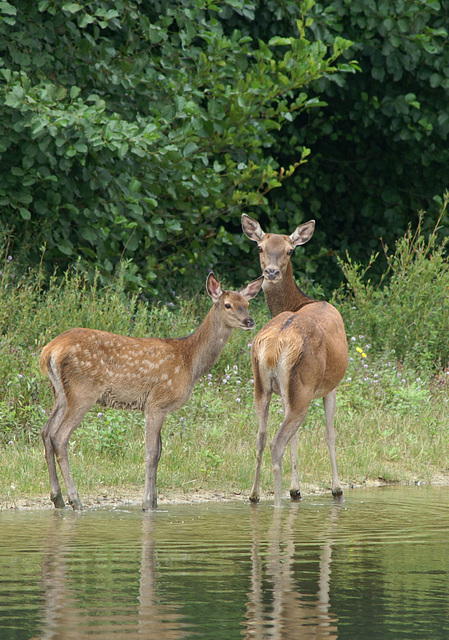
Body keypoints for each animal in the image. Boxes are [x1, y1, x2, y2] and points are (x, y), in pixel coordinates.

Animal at [40, 272, 264, 512]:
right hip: (83, 390)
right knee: (59, 436)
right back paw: (75, 500)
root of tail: (49, 351)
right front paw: (147, 503)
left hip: (60, 393)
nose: (249, 321)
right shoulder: (157, 403)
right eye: (228, 305)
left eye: (247, 304)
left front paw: (155, 502)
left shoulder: (160, 407)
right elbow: (151, 453)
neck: (190, 360)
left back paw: (58, 499)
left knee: (46, 431)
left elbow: (159, 452)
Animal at [242, 215, 346, 504]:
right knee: (277, 442)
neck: (300, 302)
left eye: (289, 250)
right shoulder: (331, 386)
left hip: (262, 386)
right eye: (260, 248)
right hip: (304, 386)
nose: (271, 273)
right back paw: (277, 503)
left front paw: (295, 488)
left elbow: (297, 438)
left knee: (261, 436)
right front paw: (336, 488)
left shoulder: (284, 393)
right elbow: (330, 433)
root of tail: (273, 346)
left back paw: (254, 495)